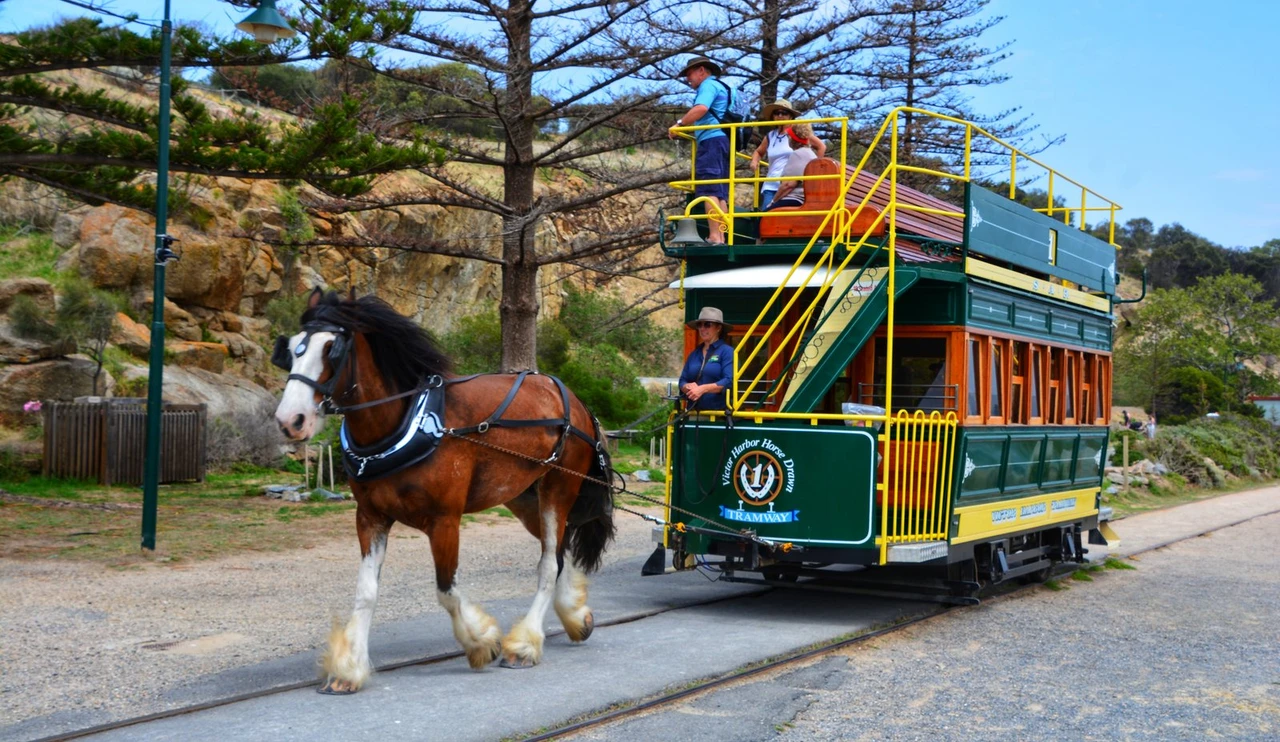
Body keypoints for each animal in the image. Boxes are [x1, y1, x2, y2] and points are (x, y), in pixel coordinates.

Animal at [272, 288, 615, 694]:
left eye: (331, 349)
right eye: (291, 349)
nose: (289, 421)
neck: (408, 422)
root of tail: (576, 402)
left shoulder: (444, 521)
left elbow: (446, 589)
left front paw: (482, 643)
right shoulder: (370, 517)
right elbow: (366, 592)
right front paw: (349, 667)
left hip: (557, 492)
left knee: (549, 563)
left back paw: (525, 643)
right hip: (523, 498)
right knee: (559, 551)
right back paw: (575, 616)